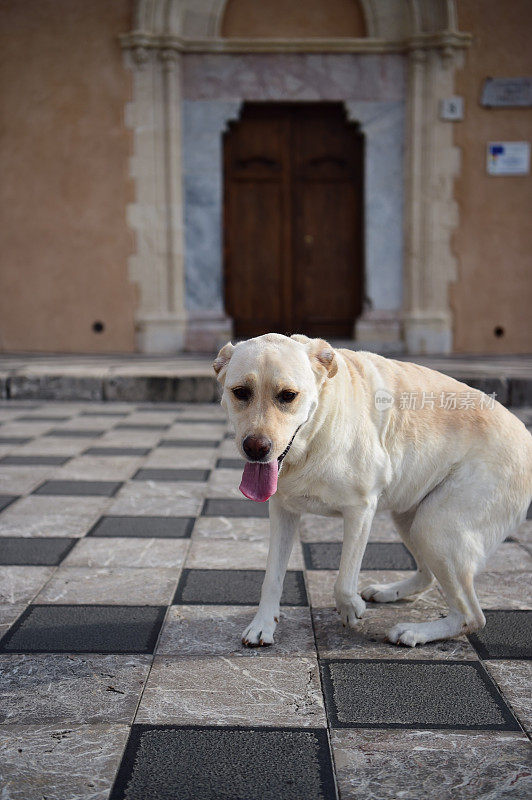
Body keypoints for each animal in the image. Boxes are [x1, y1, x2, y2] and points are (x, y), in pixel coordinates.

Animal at [213, 334, 532, 648]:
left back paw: (414, 632)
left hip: (436, 528)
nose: (256, 448)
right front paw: (263, 625)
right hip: (411, 519)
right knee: (428, 577)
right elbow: (272, 577)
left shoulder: (360, 509)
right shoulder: (283, 511)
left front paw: (349, 608)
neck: (316, 433)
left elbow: (344, 581)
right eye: (241, 392)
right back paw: (390, 592)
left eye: (288, 395)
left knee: (472, 616)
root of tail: (526, 435)